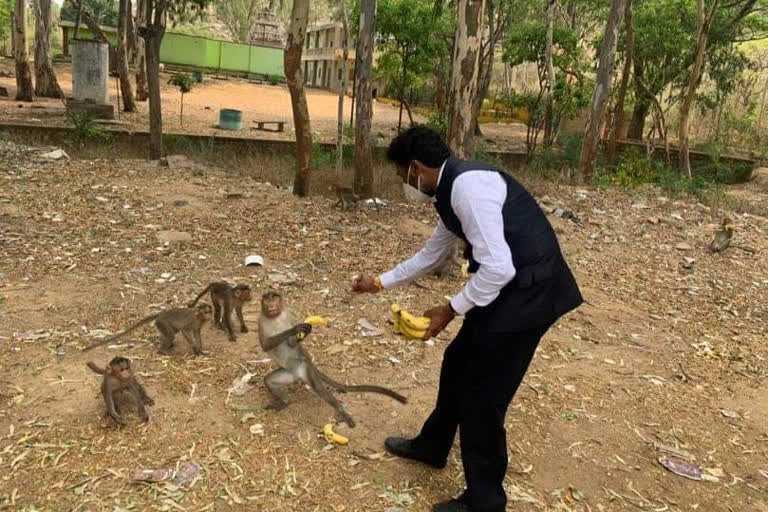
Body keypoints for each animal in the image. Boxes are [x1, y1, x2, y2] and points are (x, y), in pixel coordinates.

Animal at [82, 304, 213, 356]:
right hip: (163, 322)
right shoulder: (192, 321)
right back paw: (163, 351)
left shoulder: (199, 324)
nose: (210, 316)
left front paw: (201, 350)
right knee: (171, 335)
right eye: (206, 312)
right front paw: (195, 348)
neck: (199, 317)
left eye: (210, 311)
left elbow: (197, 334)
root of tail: (160, 314)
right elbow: (185, 331)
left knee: (169, 334)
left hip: (161, 324)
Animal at [255, 292, 408, 428]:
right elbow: (265, 345)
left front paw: (303, 331)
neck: (275, 317)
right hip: (289, 373)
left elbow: (292, 343)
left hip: (303, 367)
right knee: (269, 381)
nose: (271, 305)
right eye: (267, 301)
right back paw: (284, 401)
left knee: (319, 389)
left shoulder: (289, 314)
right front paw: (295, 329)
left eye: (274, 299)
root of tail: (299, 370)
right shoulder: (260, 320)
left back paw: (341, 411)